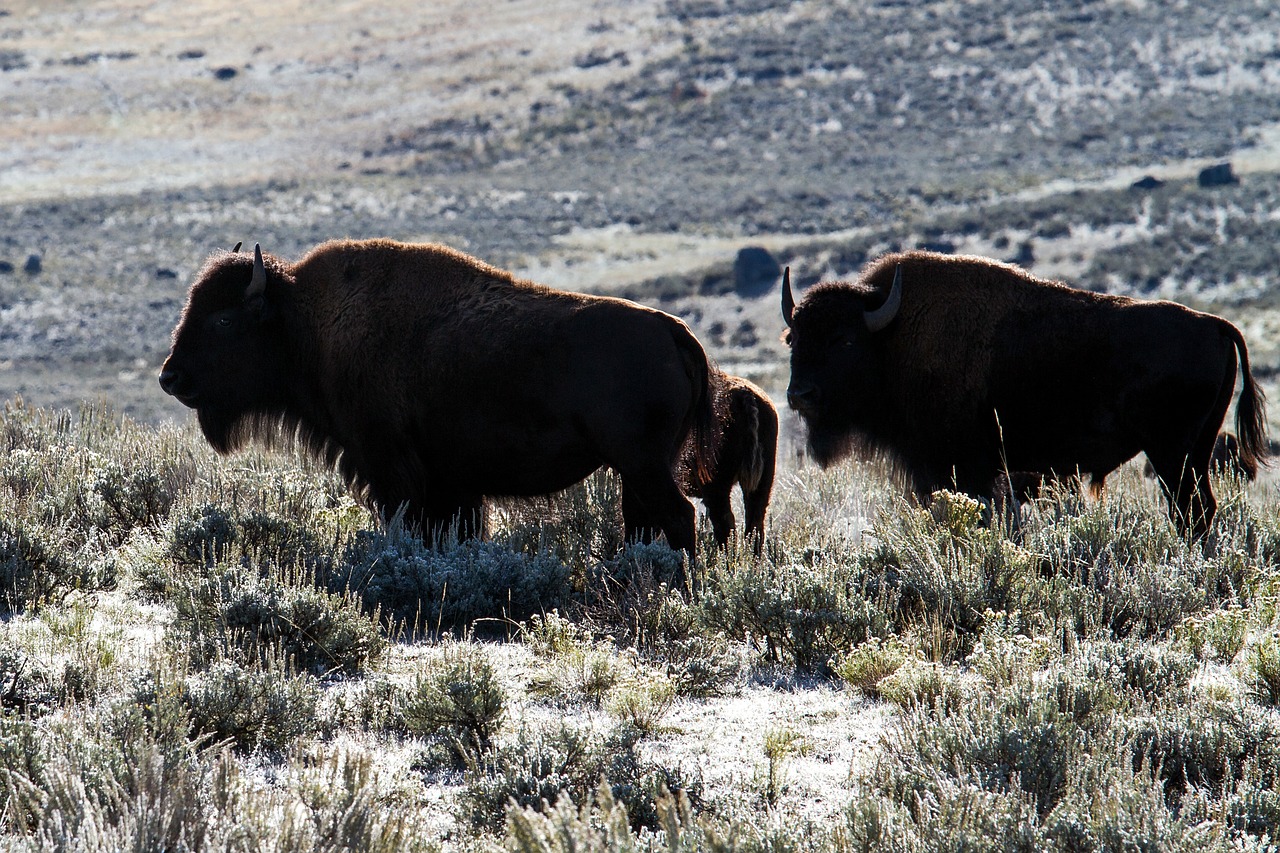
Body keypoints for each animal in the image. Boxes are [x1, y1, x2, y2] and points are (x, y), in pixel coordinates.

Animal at [160, 239, 721, 555]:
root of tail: (674, 332)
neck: (306, 324)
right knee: (645, 525)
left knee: (679, 518)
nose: (171, 377)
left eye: (223, 320)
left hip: (643, 464)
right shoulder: (452, 485)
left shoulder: (390, 469)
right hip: (637, 470)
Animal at [783, 247, 1264, 537]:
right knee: (1200, 510)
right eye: (794, 339)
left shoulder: (963, 469)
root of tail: (1216, 325)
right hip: (1196, 451)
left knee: (1190, 510)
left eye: (844, 340)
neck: (893, 336)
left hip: (1171, 453)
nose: (799, 394)